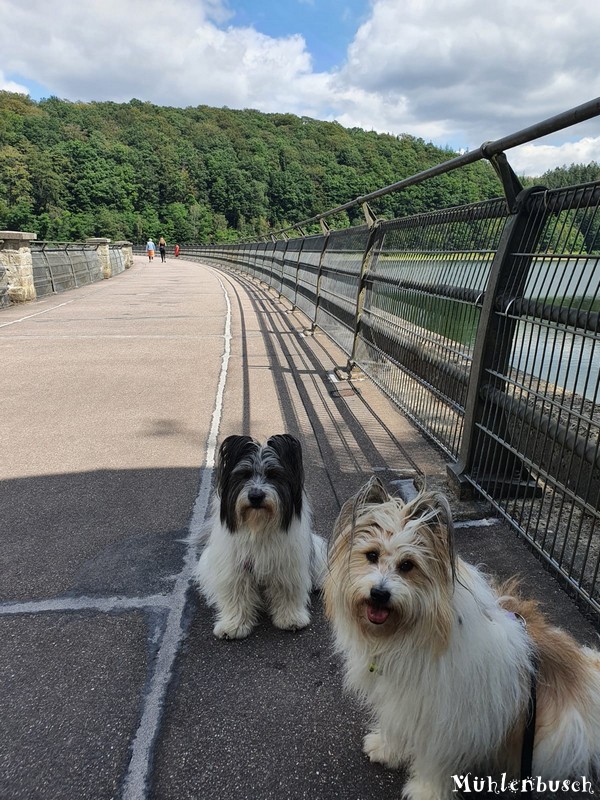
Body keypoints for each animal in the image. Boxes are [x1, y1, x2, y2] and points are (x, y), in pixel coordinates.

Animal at [193, 434, 326, 640]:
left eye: (273, 475)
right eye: (245, 475)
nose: (256, 496)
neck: (258, 526)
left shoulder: (287, 565)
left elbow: (288, 591)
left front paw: (291, 618)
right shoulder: (235, 568)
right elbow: (236, 595)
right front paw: (234, 625)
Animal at [324, 478, 600, 796]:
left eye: (407, 565)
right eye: (371, 555)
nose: (379, 594)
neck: (411, 635)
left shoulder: (449, 722)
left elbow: (436, 760)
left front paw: (426, 792)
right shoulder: (402, 701)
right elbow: (396, 725)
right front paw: (386, 748)